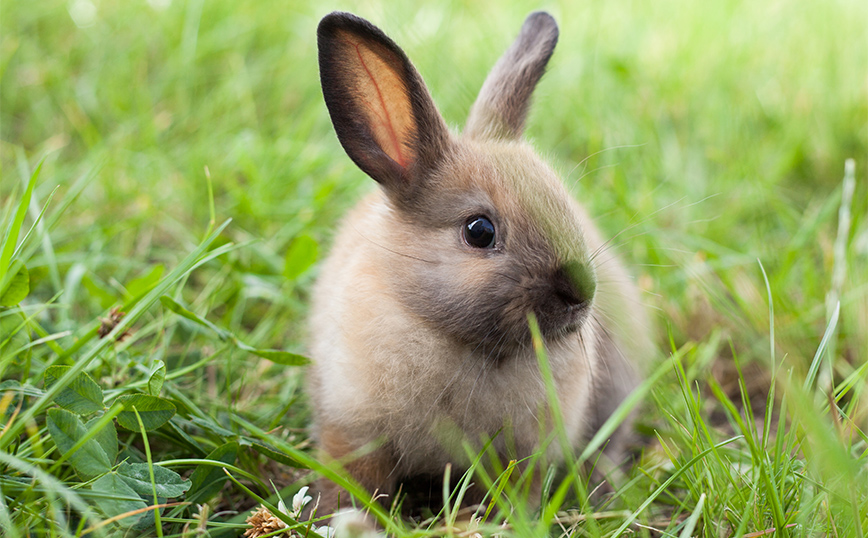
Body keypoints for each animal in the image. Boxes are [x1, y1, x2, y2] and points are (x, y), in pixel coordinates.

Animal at [306, 9, 652, 510]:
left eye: (565, 204)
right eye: (479, 231)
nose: (580, 292)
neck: (461, 341)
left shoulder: (525, 454)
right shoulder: (351, 430)